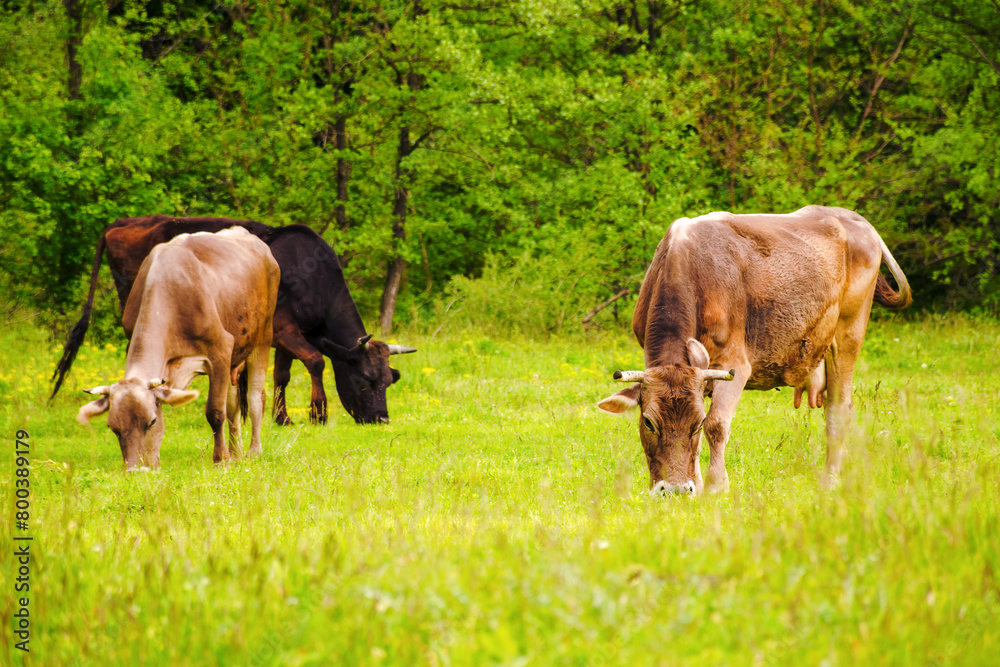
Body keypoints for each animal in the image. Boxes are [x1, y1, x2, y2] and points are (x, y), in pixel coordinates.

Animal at [49, 217, 418, 426]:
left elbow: (282, 374)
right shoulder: (284, 329)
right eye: (363, 379)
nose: (381, 418)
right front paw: (318, 412)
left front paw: (279, 416)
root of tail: (120, 223)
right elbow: (315, 362)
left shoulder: (286, 333)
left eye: (390, 380)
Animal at [76, 230, 282, 470]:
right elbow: (225, 407)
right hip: (236, 356)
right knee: (233, 404)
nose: (136, 470)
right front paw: (226, 457)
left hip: (263, 337)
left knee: (255, 397)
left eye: (152, 421)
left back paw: (253, 451)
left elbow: (215, 411)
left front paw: (221, 460)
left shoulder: (221, 350)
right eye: (112, 427)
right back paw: (236, 453)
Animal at [596, 207, 912, 496]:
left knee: (838, 409)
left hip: (848, 334)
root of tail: (850, 216)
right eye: (648, 422)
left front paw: (716, 487)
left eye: (697, 423)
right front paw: (697, 485)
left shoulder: (735, 363)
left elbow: (717, 425)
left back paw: (831, 480)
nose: (674, 490)